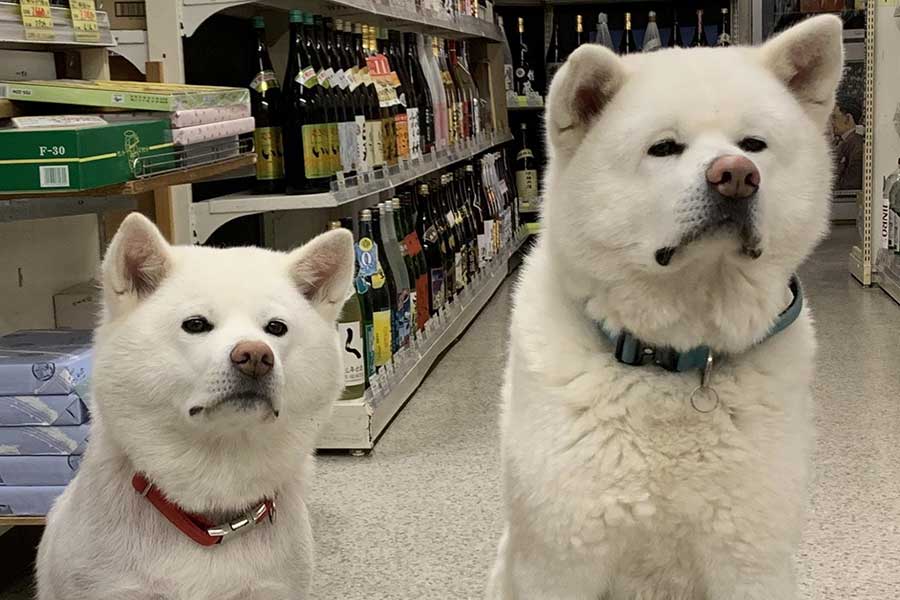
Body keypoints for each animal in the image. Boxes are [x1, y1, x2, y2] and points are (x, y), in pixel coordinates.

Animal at [488, 14, 848, 600]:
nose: (737, 175)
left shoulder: (749, 558)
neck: (676, 359)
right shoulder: (561, 559)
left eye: (754, 144)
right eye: (663, 148)